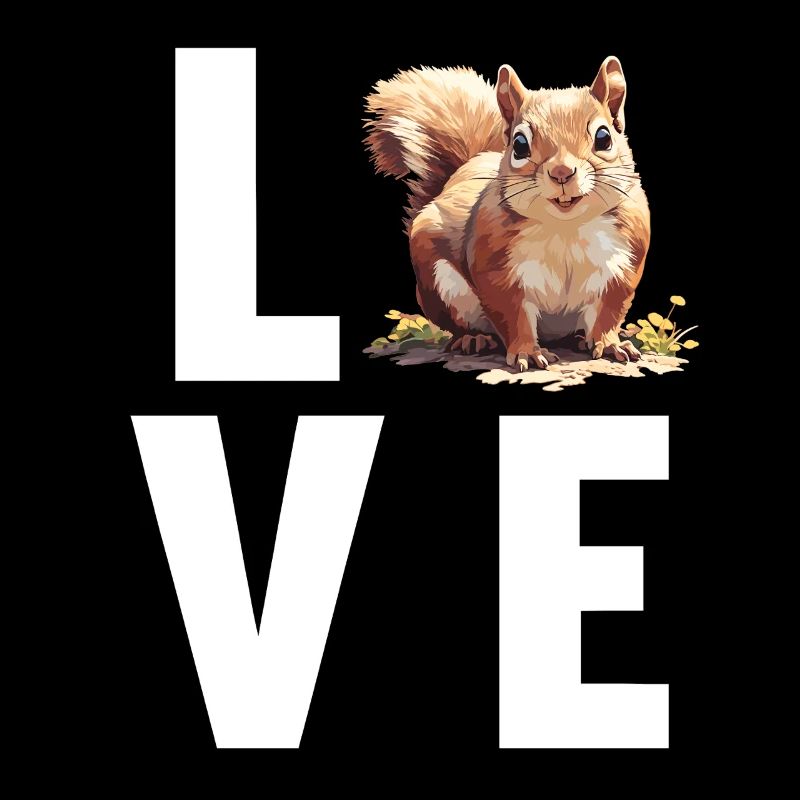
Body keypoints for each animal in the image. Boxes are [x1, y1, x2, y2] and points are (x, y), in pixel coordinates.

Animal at [365, 57, 649, 370]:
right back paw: (473, 339)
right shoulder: (496, 268)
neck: (565, 227)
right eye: (520, 144)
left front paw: (610, 345)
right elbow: (513, 315)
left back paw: (577, 339)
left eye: (604, 137)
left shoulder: (623, 265)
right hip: (441, 285)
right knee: (460, 324)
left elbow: (608, 313)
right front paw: (527, 352)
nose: (562, 172)